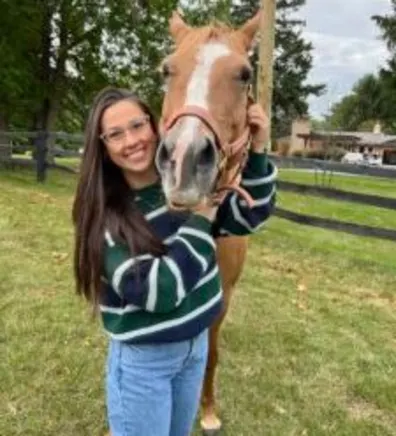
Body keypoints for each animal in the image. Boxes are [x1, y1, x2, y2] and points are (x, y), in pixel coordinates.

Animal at [155, 9, 262, 432]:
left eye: (245, 74)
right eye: (167, 69)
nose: (184, 160)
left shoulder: (224, 296)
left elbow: (211, 354)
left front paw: (209, 411)